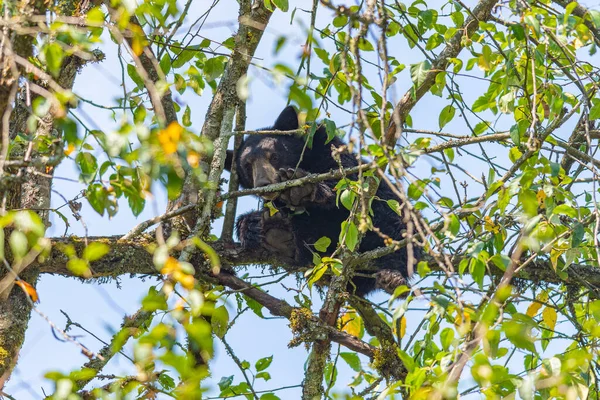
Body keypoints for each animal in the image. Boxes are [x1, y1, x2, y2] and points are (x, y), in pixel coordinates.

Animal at [225, 106, 418, 296]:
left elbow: (348, 180)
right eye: (247, 166)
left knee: (394, 225)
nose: (263, 183)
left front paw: (302, 189)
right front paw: (250, 225)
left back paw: (392, 276)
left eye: (273, 156)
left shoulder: (324, 142)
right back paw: (277, 233)